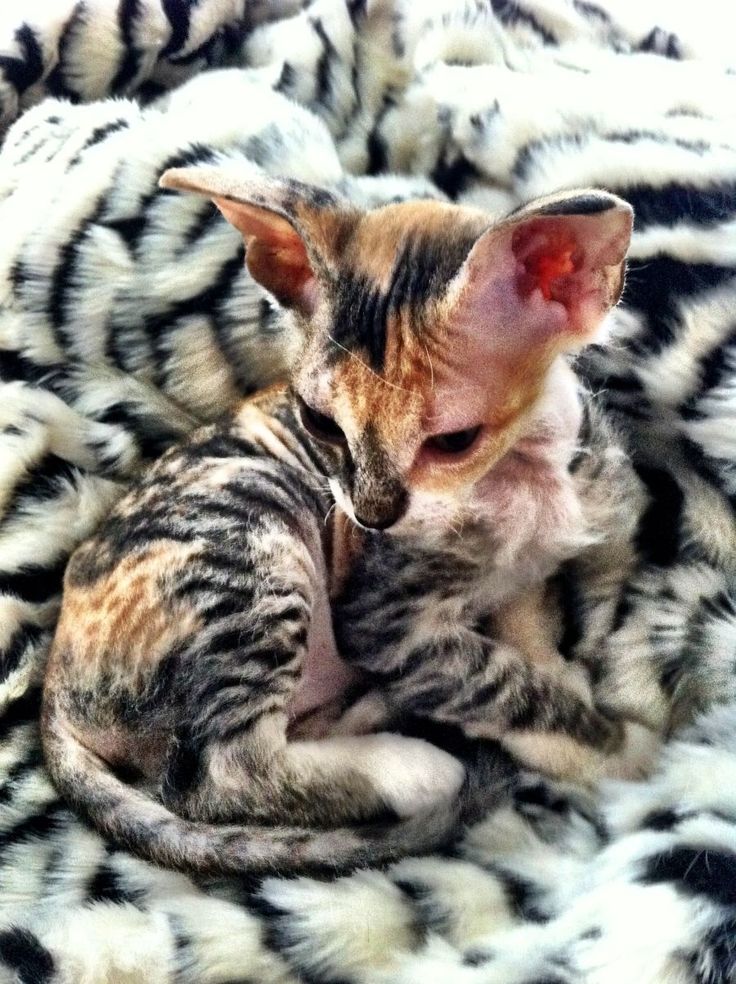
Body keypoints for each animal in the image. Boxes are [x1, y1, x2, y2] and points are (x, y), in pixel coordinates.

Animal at [41, 171, 656, 876]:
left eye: (454, 441)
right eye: (320, 423)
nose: (373, 515)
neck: (524, 479)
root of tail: (52, 681)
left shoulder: (525, 570)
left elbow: (523, 634)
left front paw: (557, 666)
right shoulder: (382, 618)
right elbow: (501, 685)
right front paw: (614, 748)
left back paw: (381, 709)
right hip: (250, 534)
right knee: (215, 776)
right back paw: (412, 769)